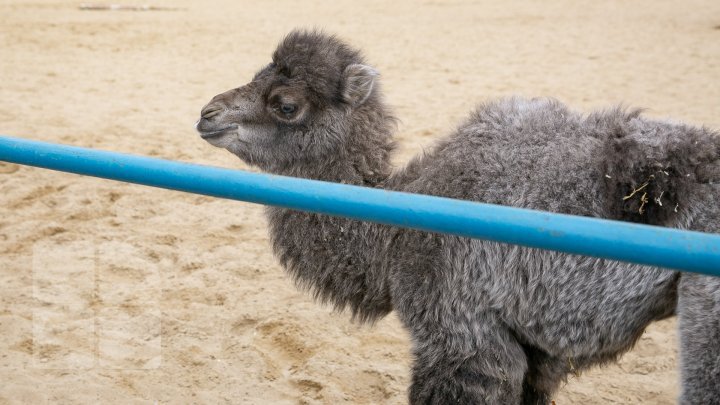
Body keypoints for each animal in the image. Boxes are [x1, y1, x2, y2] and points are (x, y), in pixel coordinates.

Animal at [194, 30, 720, 402]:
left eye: (286, 104)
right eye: (258, 72)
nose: (207, 113)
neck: (396, 228)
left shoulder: (462, 333)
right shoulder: (536, 350)